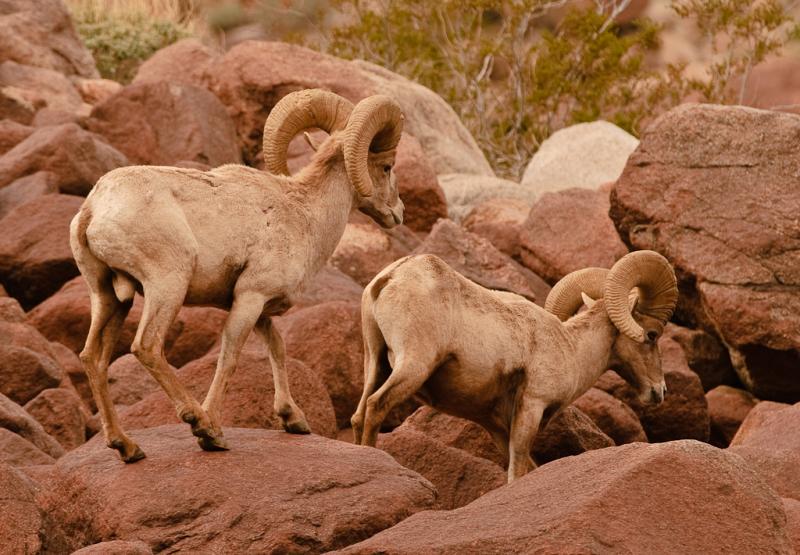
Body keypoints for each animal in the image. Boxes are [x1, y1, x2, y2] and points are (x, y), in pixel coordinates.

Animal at [69, 89, 406, 462]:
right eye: (387, 166)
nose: (398, 213)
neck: (305, 214)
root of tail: (93, 211)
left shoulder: (257, 305)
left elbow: (278, 347)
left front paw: (293, 419)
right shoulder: (250, 298)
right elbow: (230, 357)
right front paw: (213, 434)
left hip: (108, 295)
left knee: (93, 357)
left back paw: (127, 447)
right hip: (166, 286)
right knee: (147, 347)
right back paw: (198, 421)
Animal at [351, 250, 678, 482]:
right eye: (652, 335)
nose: (659, 391)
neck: (571, 348)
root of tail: (390, 278)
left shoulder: (496, 425)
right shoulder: (531, 408)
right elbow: (517, 471)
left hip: (375, 361)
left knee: (358, 415)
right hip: (414, 364)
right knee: (377, 405)